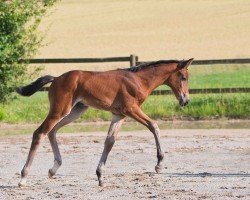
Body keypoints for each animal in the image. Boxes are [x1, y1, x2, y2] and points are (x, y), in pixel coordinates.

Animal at [17, 58, 193, 187]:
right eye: (183, 77)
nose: (185, 101)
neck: (139, 80)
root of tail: (56, 79)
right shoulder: (131, 109)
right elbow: (154, 126)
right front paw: (159, 164)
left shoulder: (119, 115)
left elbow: (110, 141)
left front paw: (100, 176)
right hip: (60, 110)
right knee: (40, 133)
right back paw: (23, 178)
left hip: (76, 111)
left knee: (52, 131)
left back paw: (53, 169)